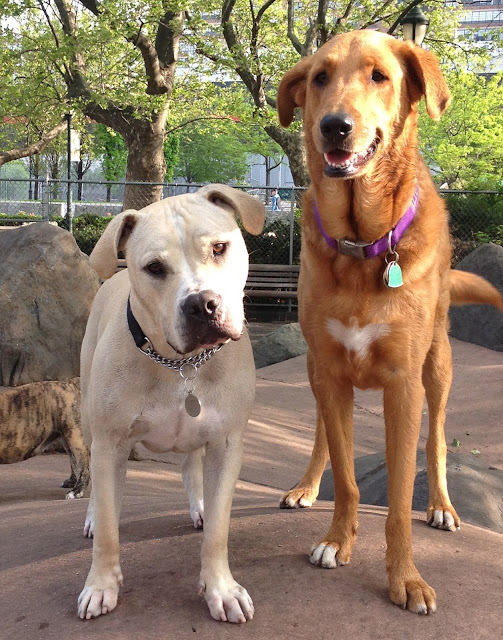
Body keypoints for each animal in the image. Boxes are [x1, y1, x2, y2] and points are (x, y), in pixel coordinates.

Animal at [77, 184, 265, 623]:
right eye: (154, 268)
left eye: (219, 247)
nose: (201, 304)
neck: (181, 365)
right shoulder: (110, 443)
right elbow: (109, 528)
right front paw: (101, 585)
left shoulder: (226, 444)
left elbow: (218, 530)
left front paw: (220, 588)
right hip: (90, 425)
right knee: (95, 482)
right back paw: (92, 514)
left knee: (190, 465)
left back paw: (199, 505)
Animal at [276, 29, 502, 614]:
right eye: (319, 78)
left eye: (379, 76)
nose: (334, 125)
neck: (362, 245)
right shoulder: (330, 373)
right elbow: (348, 475)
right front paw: (337, 541)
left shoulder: (403, 385)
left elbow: (400, 495)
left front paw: (406, 578)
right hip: (315, 369)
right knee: (322, 433)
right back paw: (306, 485)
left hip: (438, 368)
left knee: (437, 440)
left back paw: (442, 505)